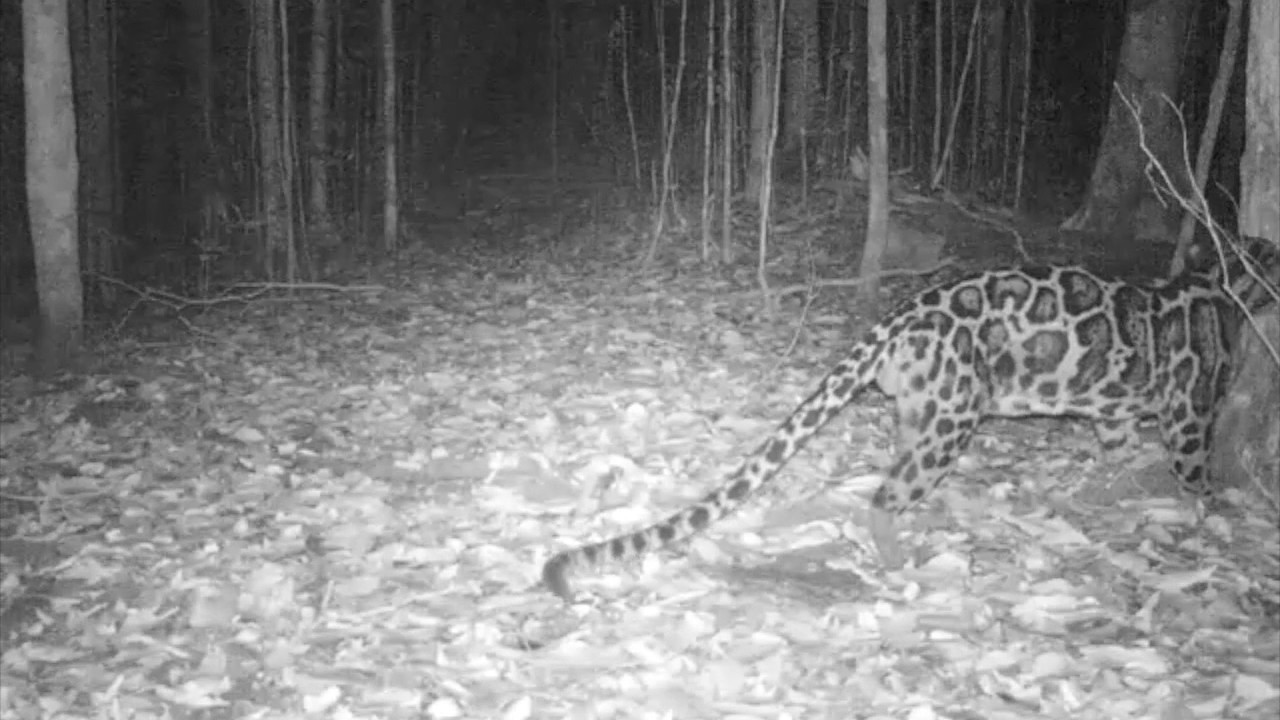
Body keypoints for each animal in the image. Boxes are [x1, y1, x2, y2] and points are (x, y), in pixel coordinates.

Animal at [542, 239, 1280, 601]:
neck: (1223, 283)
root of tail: (904, 314)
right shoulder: (1191, 414)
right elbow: (1195, 475)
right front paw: (1214, 513)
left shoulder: (1120, 412)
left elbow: (1116, 441)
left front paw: (1111, 484)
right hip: (951, 421)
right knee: (883, 494)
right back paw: (901, 560)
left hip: (919, 412)